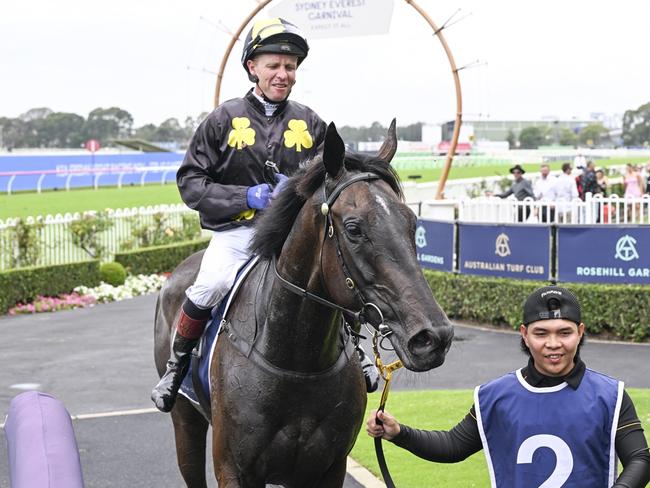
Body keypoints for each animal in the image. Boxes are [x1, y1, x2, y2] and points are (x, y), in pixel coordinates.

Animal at [154, 120, 454, 486]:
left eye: (412, 222)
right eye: (353, 228)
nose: (433, 337)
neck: (297, 364)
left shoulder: (328, 467)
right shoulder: (233, 468)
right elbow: (193, 177)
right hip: (186, 422)